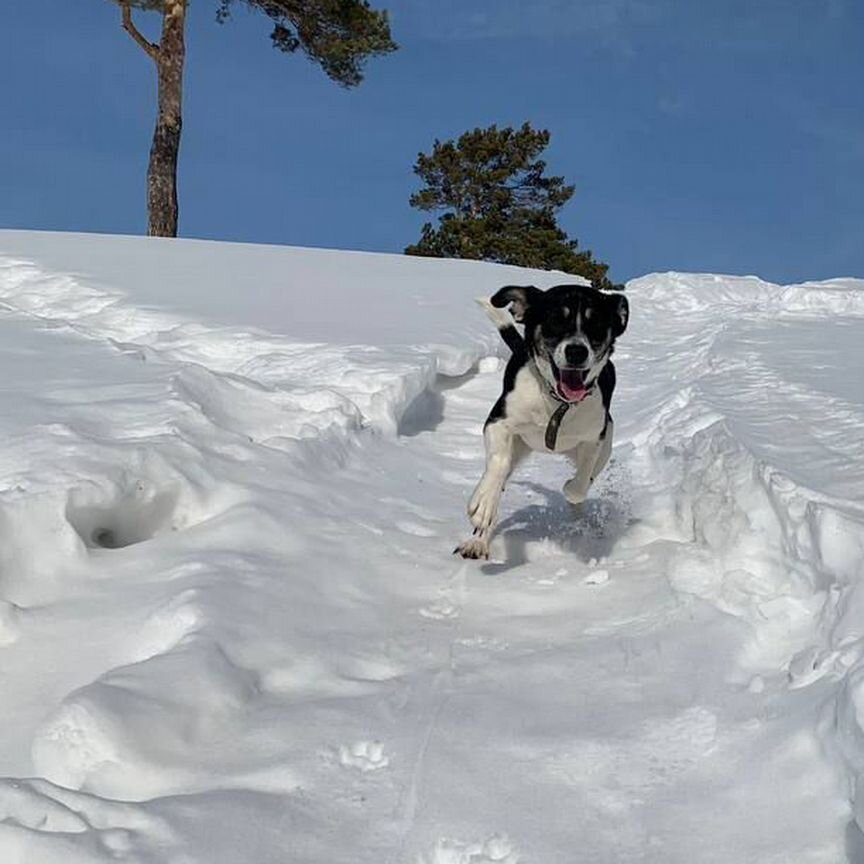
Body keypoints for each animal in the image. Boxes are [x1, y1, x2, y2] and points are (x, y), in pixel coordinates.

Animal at [452, 284, 628, 560]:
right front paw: (483, 505)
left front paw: (571, 488)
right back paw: (478, 540)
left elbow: (578, 486)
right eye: (555, 320)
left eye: (597, 324)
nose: (576, 351)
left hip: (605, 445)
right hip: (518, 444)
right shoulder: (498, 422)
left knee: (586, 482)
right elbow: (498, 464)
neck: (556, 401)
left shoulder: (594, 439)